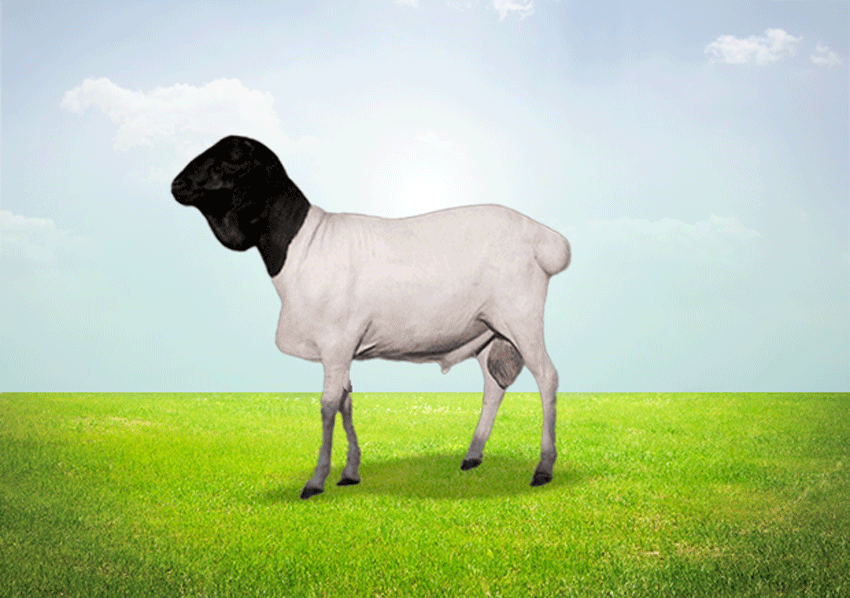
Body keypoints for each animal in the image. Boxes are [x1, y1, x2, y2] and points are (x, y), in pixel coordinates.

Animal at [171, 135, 571, 499]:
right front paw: (350, 472)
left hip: (521, 317)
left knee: (547, 377)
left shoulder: (336, 341)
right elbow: (346, 402)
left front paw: (316, 480)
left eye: (234, 157)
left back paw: (543, 468)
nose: (177, 185)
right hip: (489, 331)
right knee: (493, 386)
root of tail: (545, 239)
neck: (302, 246)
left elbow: (328, 406)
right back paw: (473, 455)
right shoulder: (343, 348)